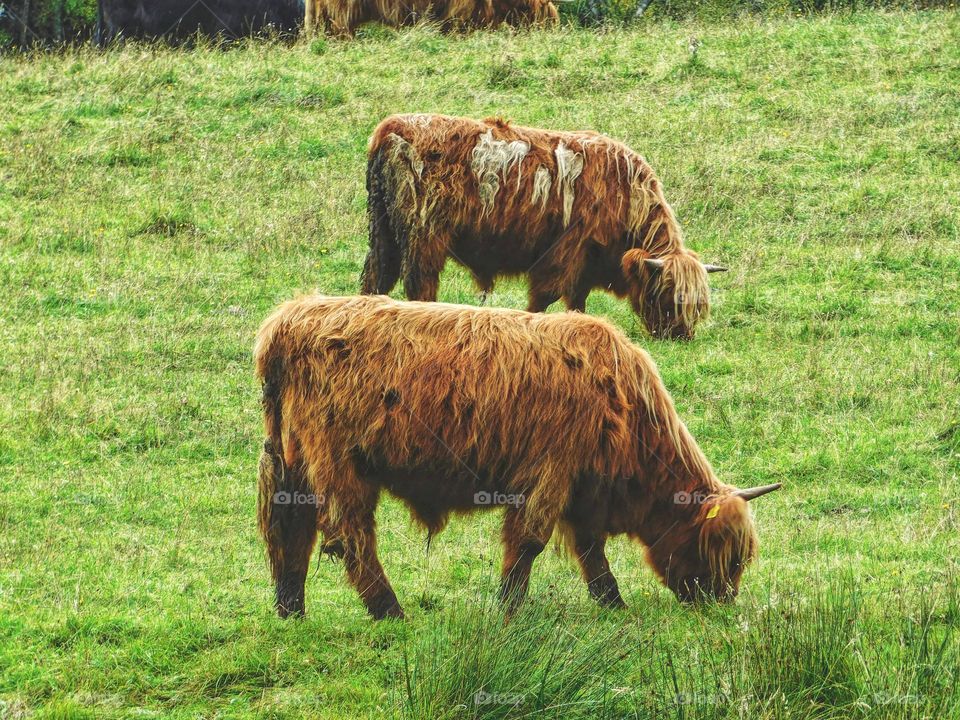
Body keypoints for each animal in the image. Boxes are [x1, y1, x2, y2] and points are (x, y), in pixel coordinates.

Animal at [255, 294, 779, 619]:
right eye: (726, 552)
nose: (721, 602)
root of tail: (289, 318)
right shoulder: (552, 472)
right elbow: (530, 542)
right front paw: (507, 607)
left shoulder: (581, 490)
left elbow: (591, 552)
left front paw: (613, 603)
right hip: (339, 461)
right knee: (350, 534)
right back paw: (390, 610)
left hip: (292, 461)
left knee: (291, 528)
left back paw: (291, 609)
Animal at [361, 114, 727, 340]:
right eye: (669, 295)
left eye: (698, 304)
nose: (680, 335)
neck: (624, 190)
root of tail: (389, 129)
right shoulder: (567, 251)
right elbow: (545, 296)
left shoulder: (585, 264)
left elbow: (576, 301)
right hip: (423, 236)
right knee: (419, 284)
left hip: (383, 234)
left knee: (375, 277)